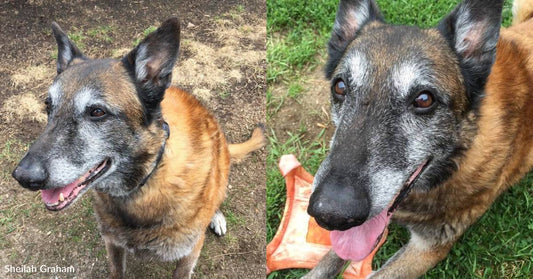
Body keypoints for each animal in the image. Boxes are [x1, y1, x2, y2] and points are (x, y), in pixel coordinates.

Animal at [14, 18, 266, 279]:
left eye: (97, 112)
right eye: (48, 105)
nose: (23, 176)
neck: (146, 179)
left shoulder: (189, 254)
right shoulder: (113, 244)